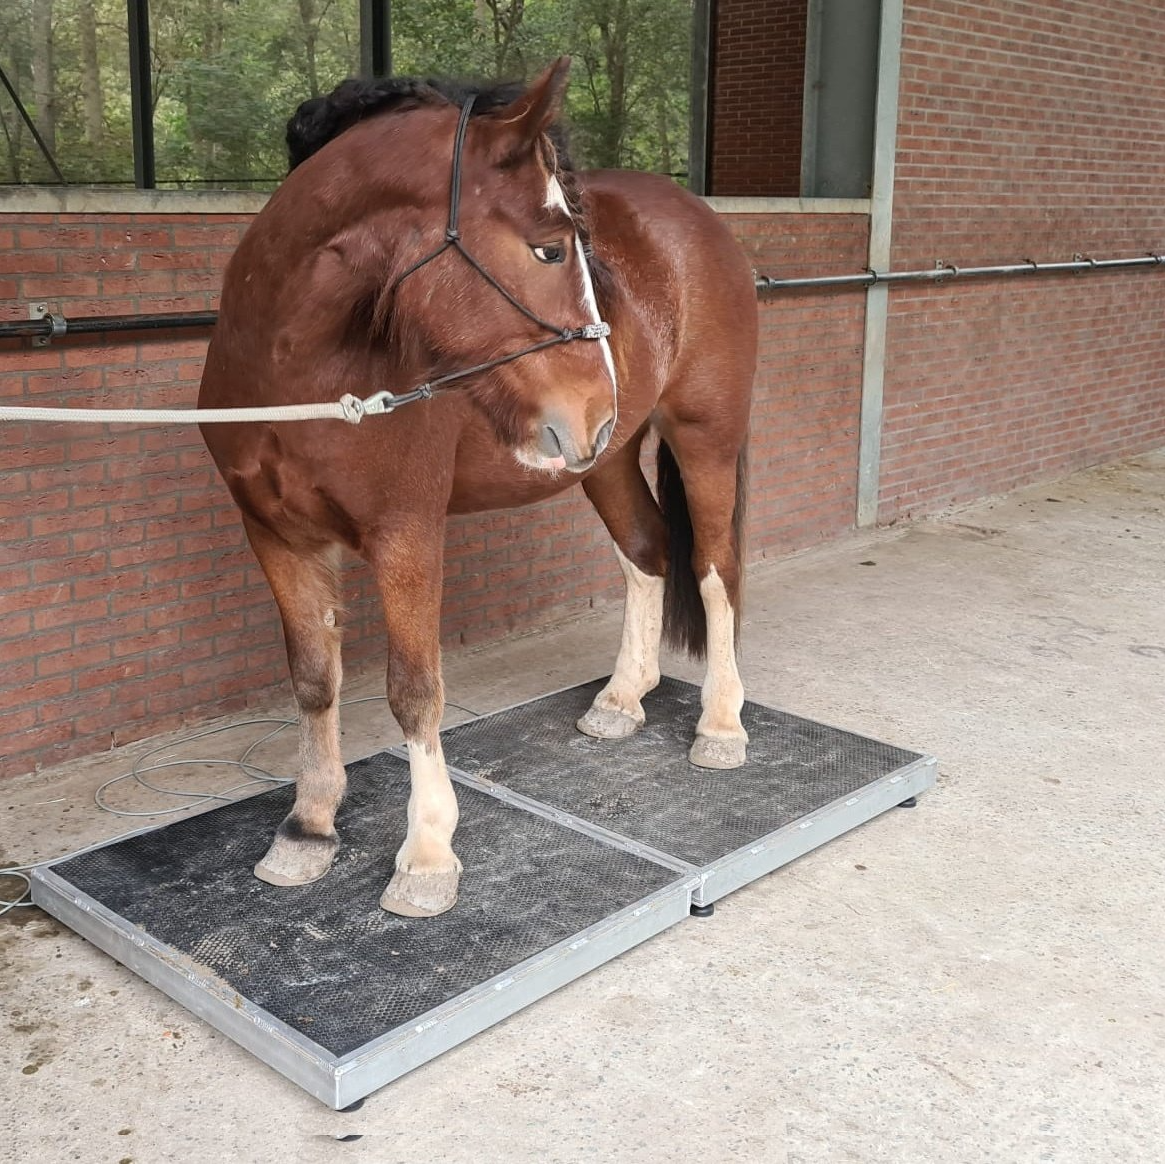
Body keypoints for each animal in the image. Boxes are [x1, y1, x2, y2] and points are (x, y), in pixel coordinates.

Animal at [198, 58, 758, 918]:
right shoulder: (276, 533)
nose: (596, 399)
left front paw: (427, 856)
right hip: (604, 461)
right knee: (647, 552)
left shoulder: (405, 532)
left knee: (714, 567)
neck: (300, 372)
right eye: (551, 250)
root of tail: (700, 219)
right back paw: (621, 700)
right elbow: (314, 680)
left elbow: (412, 690)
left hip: (704, 439)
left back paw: (720, 726)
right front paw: (308, 828)